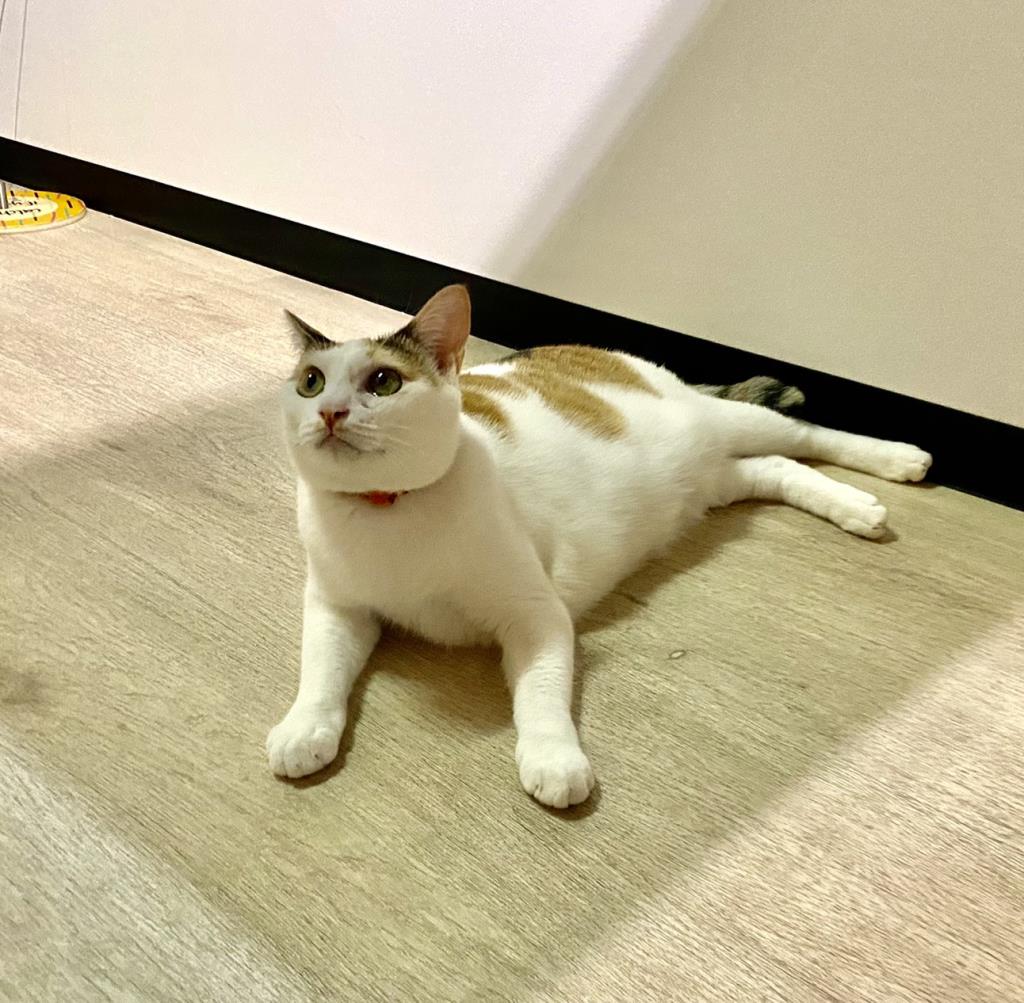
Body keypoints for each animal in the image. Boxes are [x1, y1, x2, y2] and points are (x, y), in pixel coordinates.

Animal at [267, 285, 931, 808]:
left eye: (383, 381)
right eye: (310, 382)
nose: (329, 412)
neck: (387, 511)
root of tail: (593, 346)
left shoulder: (536, 615)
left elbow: (541, 694)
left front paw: (553, 759)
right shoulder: (336, 607)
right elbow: (320, 668)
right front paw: (304, 728)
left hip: (724, 423)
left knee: (806, 434)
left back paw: (894, 464)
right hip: (713, 480)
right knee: (774, 467)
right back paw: (852, 505)